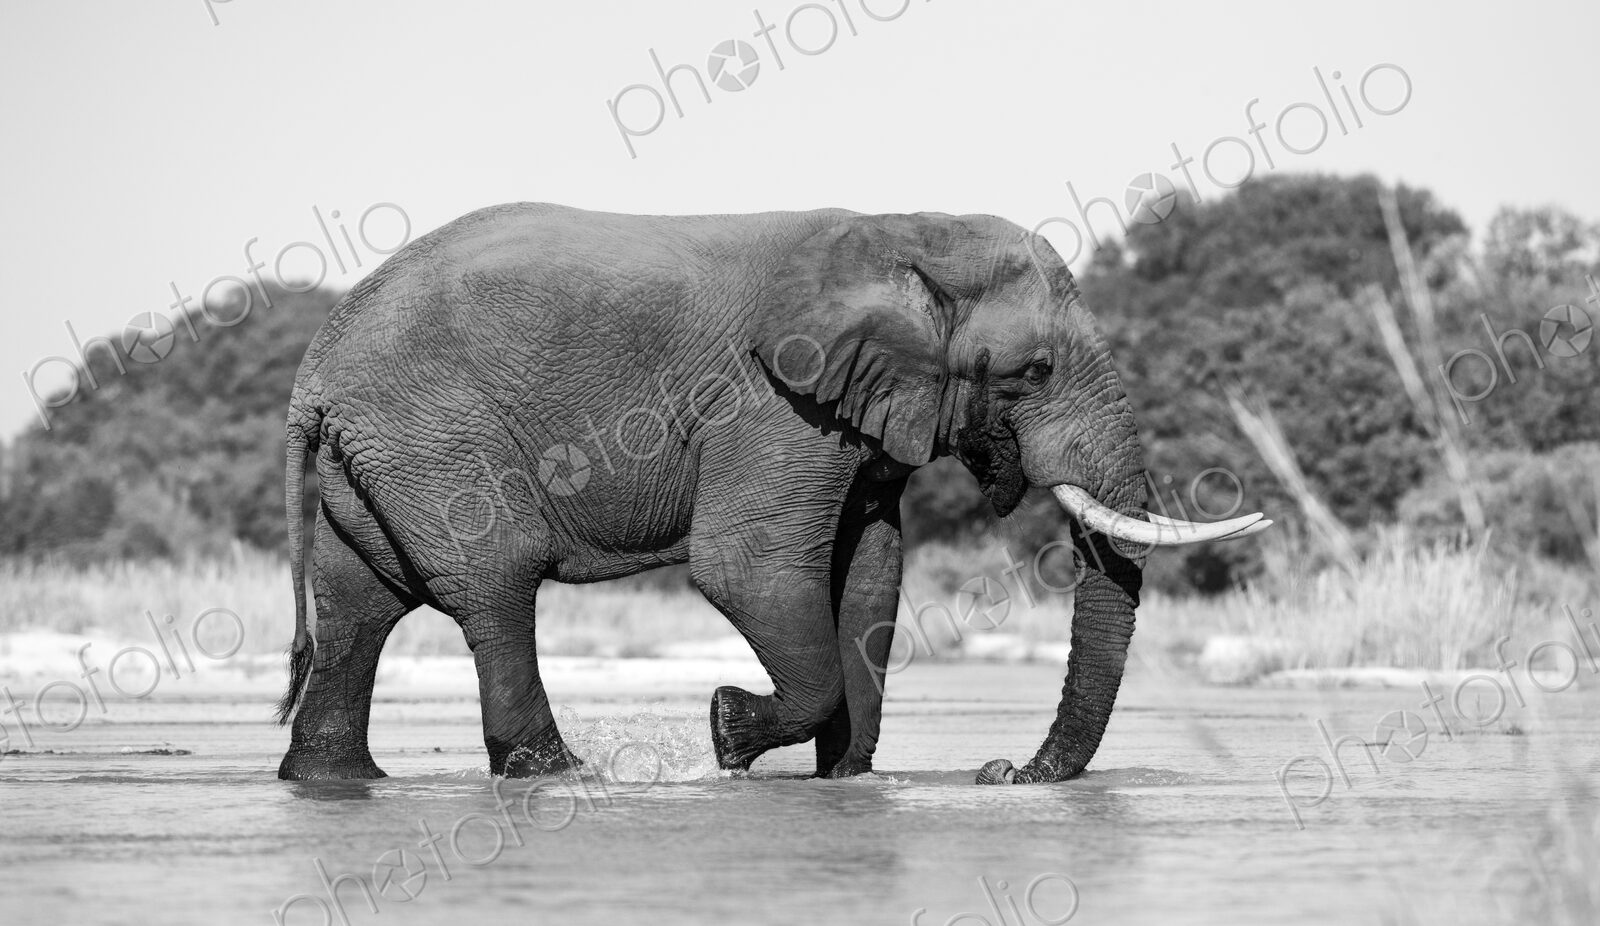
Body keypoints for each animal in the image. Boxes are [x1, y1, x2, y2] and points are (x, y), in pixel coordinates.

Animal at [273, 202, 1269, 783]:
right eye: (1035, 370)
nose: (1001, 773)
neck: (904, 232)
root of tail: (311, 372)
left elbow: (871, 574)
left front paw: (846, 779)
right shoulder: (773, 402)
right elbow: (746, 569)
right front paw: (726, 732)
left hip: (382, 457)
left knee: (360, 604)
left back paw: (333, 782)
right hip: (436, 436)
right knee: (494, 585)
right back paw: (557, 773)